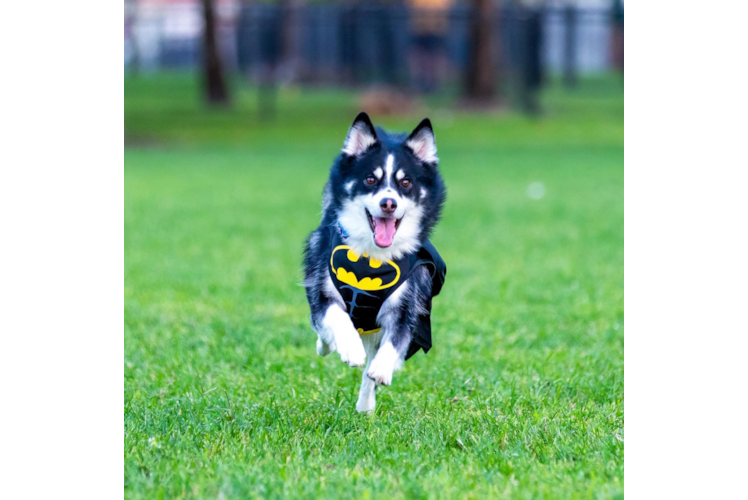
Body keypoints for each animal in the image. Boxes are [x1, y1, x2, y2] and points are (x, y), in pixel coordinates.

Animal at [306, 113, 448, 414]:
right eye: (371, 179)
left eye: (405, 183)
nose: (388, 203)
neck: (373, 257)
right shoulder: (322, 292)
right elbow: (335, 316)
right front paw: (350, 348)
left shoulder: (408, 304)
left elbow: (396, 340)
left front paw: (381, 369)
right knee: (322, 330)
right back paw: (329, 345)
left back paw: (365, 404)